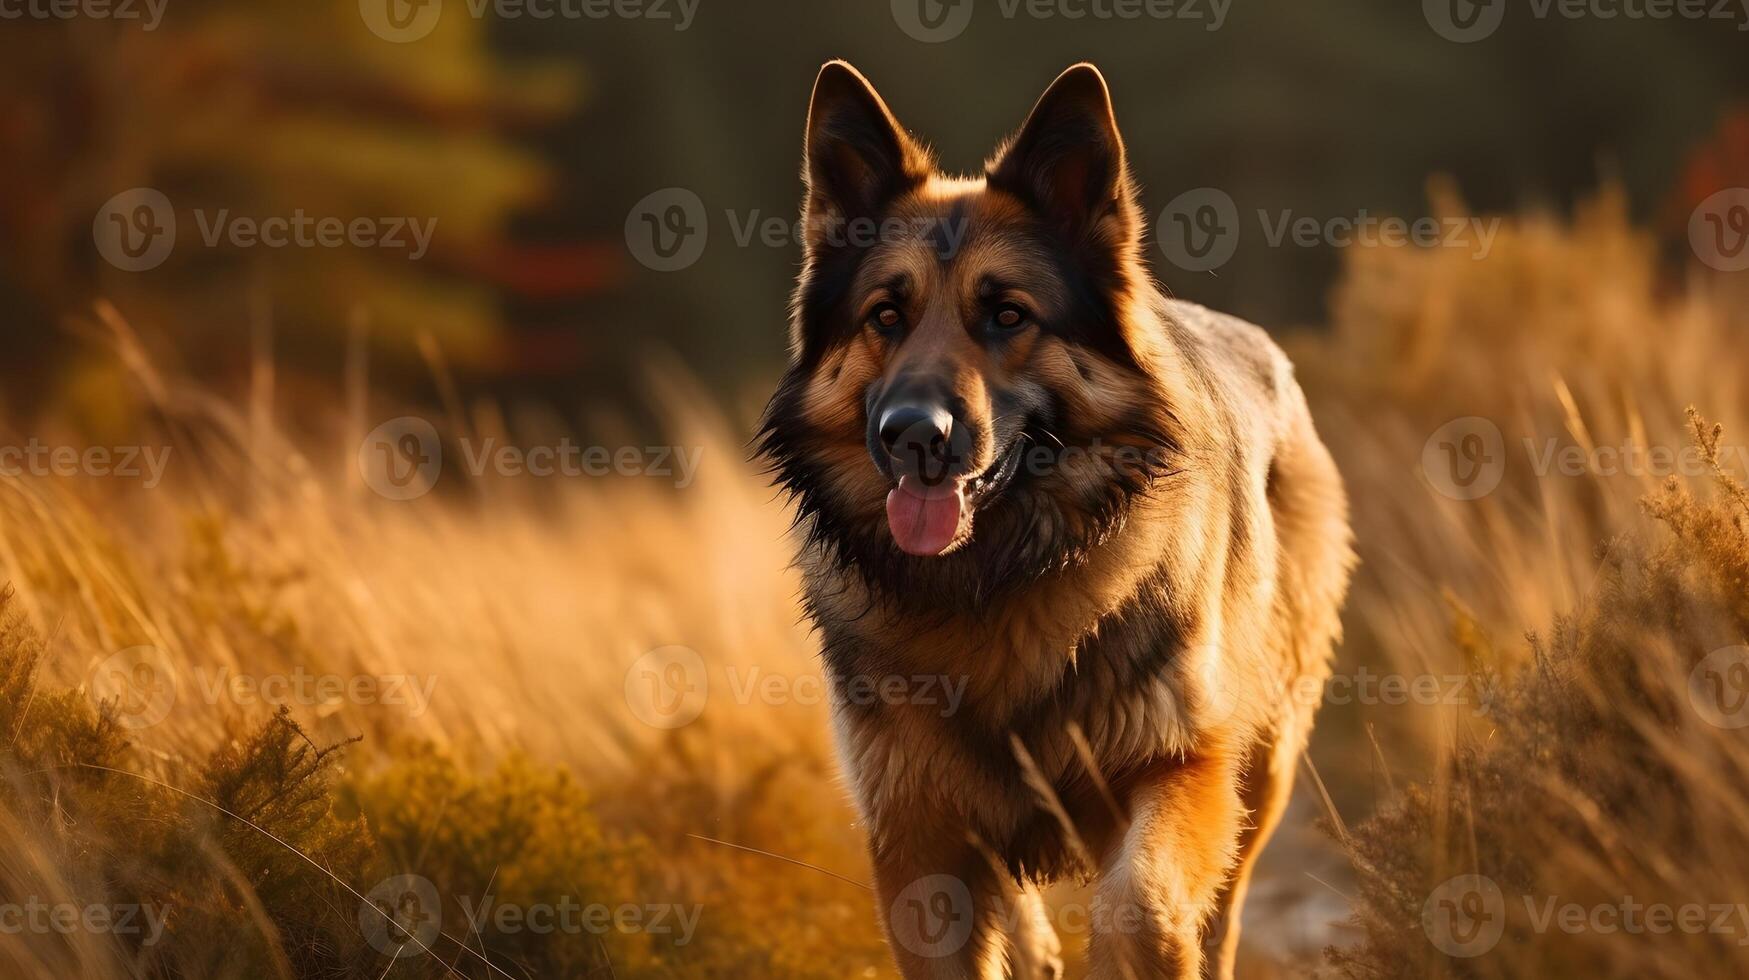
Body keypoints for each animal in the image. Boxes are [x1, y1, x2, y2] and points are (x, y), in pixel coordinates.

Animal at [755, 63, 1350, 980]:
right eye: (885, 316)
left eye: (1007, 315)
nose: (912, 435)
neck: (997, 579)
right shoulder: (917, 833)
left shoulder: (1180, 768)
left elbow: (1140, 902)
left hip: (1265, 765)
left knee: (1222, 909)